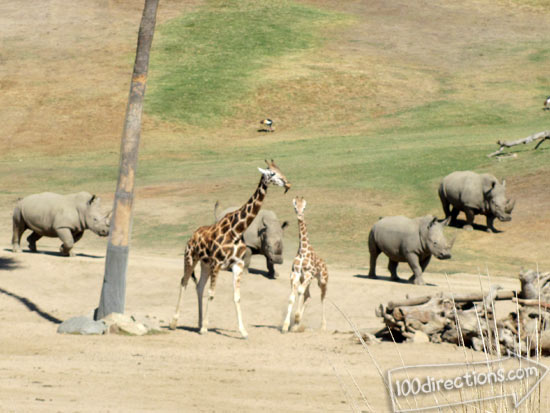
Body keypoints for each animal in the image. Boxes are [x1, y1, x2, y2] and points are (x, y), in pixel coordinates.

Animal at [282, 196, 330, 332]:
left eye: (304, 207)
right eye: (295, 206)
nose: (299, 216)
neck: (303, 250)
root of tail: (325, 266)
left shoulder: (309, 273)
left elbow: (299, 291)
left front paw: (297, 318)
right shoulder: (295, 274)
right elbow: (292, 297)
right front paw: (287, 325)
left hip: (322, 281)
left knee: (323, 297)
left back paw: (323, 326)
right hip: (306, 278)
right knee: (308, 294)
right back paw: (296, 325)